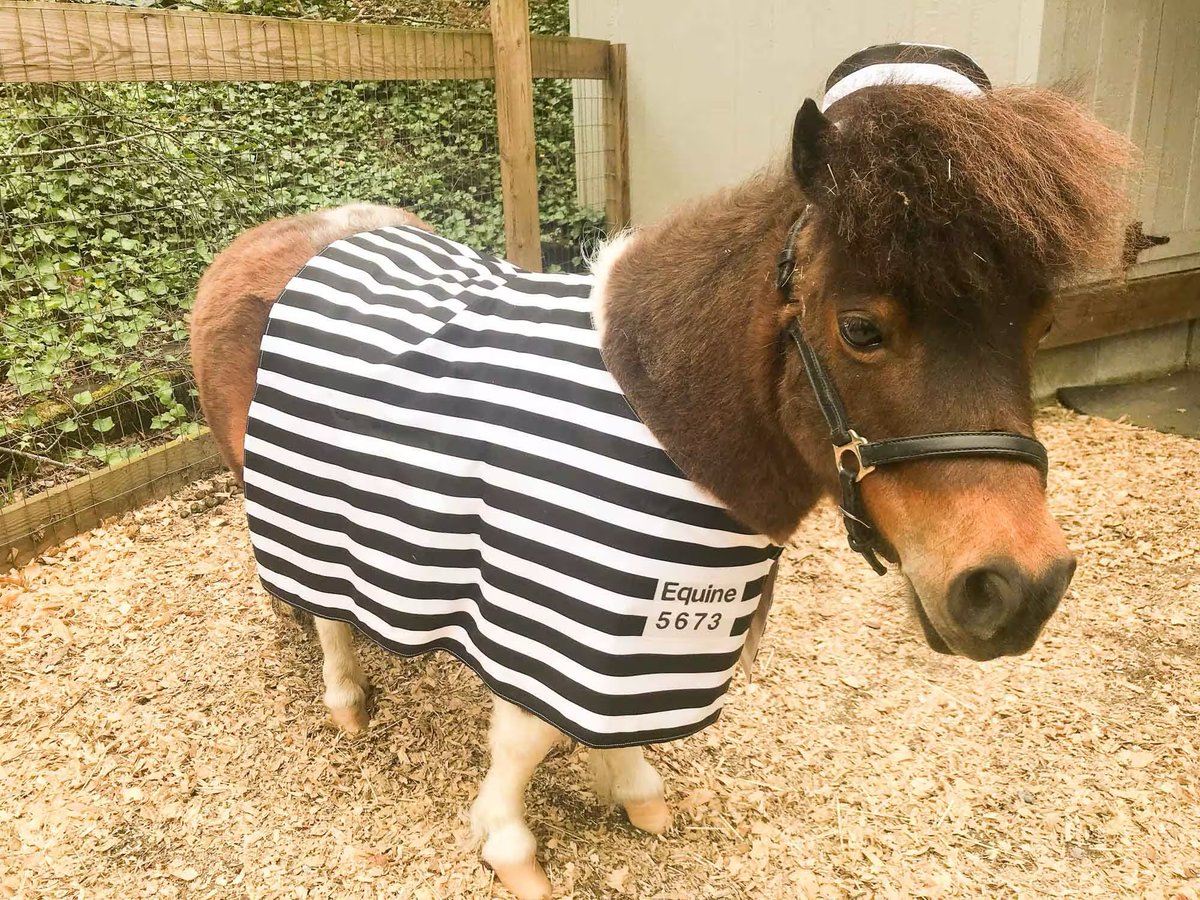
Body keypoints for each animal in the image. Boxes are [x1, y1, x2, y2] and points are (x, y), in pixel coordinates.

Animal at [190, 45, 1132, 900]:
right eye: (861, 328)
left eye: (1042, 326)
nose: (1020, 586)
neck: (665, 420)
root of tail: (269, 239)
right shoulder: (552, 604)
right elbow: (526, 736)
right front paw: (508, 844)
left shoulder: (637, 636)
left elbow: (606, 723)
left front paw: (631, 789)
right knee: (326, 615)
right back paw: (347, 697)